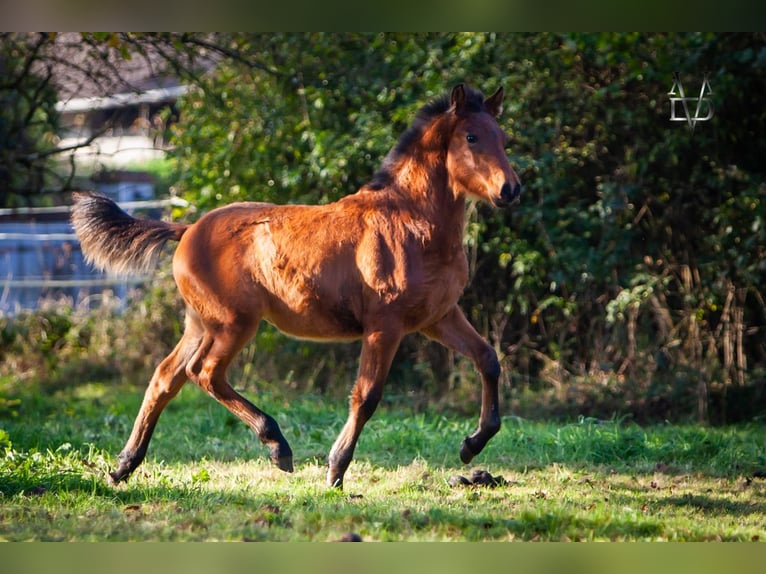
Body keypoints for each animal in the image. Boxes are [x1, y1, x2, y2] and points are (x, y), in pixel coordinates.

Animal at [70, 84, 520, 490]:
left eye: (503, 138)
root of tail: (188, 229)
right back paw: (277, 445)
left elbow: (488, 359)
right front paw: (335, 470)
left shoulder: (438, 316)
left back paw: (124, 465)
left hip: (201, 323)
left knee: (166, 377)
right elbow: (367, 395)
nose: (510, 189)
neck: (413, 222)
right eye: (471, 137)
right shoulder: (385, 325)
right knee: (204, 373)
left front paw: (471, 445)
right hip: (234, 323)